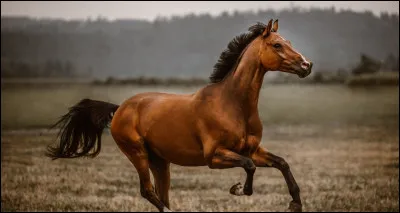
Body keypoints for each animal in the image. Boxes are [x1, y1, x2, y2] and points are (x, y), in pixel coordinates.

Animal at [46, 19, 312, 212]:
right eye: (277, 45)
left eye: (287, 41)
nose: (306, 66)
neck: (233, 104)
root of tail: (120, 108)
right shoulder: (214, 157)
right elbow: (249, 167)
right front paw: (237, 189)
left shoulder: (252, 150)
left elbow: (281, 163)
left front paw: (295, 203)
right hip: (138, 154)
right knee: (148, 191)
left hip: (160, 162)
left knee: (160, 194)